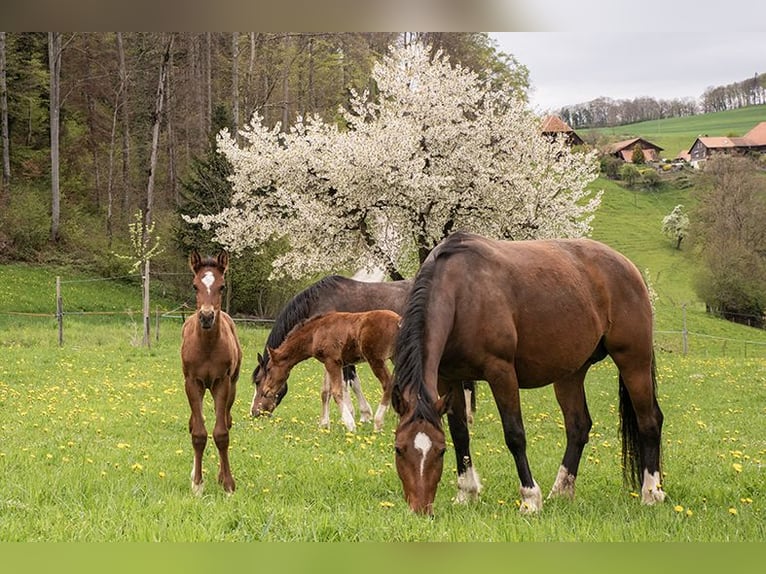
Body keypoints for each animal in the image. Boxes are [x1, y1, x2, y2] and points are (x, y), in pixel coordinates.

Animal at [181, 250, 242, 494]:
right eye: (195, 285)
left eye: (222, 286)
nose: (207, 317)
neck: (206, 346)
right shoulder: (192, 383)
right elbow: (198, 433)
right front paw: (197, 485)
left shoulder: (221, 382)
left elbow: (221, 433)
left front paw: (228, 484)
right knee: (193, 424)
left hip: (232, 386)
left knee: (226, 420)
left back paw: (220, 474)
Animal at [251, 310, 400, 432]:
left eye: (269, 369)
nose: (265, 391)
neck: (315, 332)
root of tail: (399, 321)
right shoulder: (329, 363)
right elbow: (325, 392)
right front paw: (324, 424)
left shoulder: (332, 362)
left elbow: (336, 392)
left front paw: (350, 424)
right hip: (395, 358)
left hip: (376, 360)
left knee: (388, 383)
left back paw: (378, 422)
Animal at [391, 231, 665, 516]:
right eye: (398, 449)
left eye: (440, 452)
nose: (420, 509)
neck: (462, 293)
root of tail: (628, 266)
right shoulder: (449, 378)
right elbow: (460, 433)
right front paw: (466, 493)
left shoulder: (501, 372)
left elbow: (514, 435)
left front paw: (530, 499)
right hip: (571, 373)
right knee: (578, 427)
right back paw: (561, 491)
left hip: (633, 360)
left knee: (649, 421)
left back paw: (651, 493)